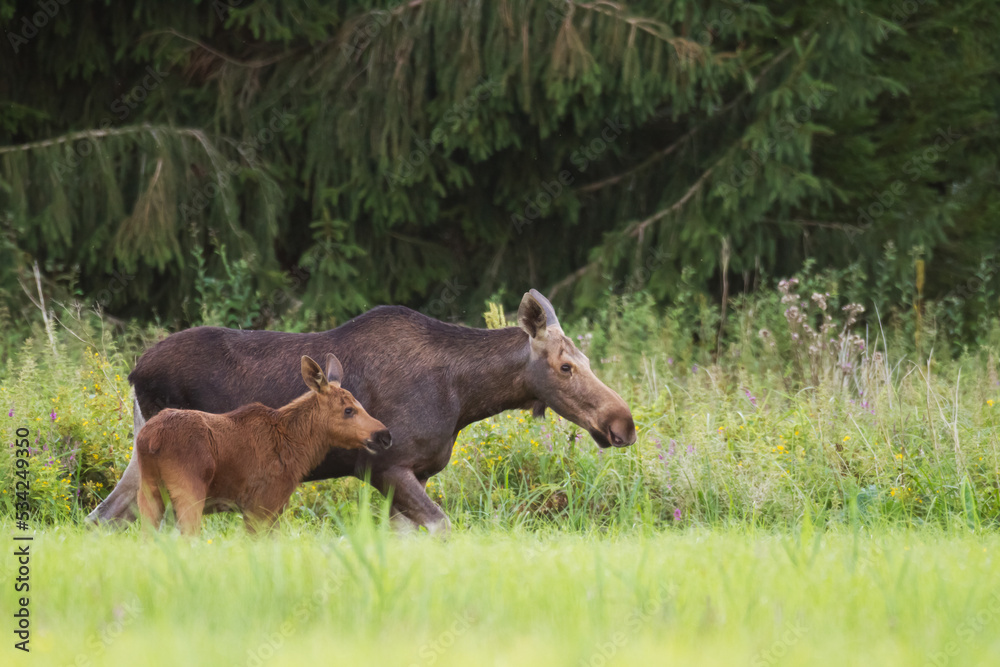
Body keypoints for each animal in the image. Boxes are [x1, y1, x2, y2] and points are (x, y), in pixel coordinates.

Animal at [137, 354, 390, 536]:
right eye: (348, 410)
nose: (384, 435)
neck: (299, 446)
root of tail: (151, 440)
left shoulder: (272, 508)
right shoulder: (261, 504)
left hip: (149, 492)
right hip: (189, 490)